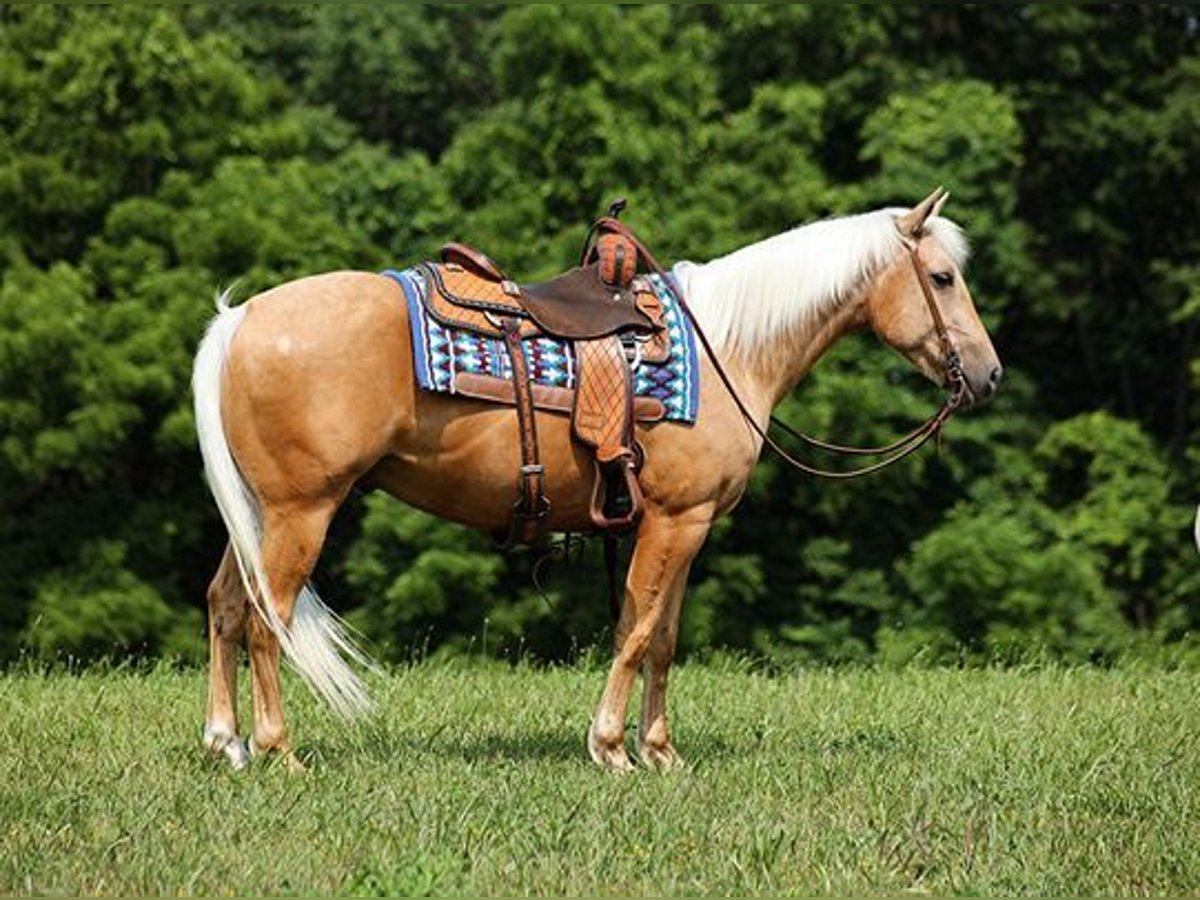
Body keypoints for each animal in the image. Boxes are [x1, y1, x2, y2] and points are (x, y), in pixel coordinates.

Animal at [194, 187, 1003, 772]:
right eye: (942, 277)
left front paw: (662, 752)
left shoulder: (680, 525)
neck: (729, 348)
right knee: (266, 618)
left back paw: (225, 743)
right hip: (302, 511)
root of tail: (239, 320)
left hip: (259, 515)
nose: (989, 374)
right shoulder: (678, 518)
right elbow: (638, 630)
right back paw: (279, 752)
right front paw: (612, 748)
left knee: (226, 606)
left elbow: (664, 638)